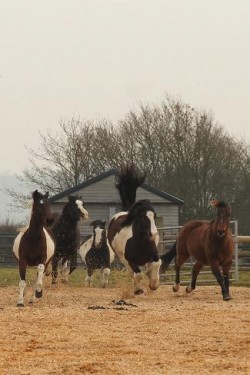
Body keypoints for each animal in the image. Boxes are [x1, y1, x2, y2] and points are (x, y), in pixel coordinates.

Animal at [107, 164, 161, 296]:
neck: (140, 243)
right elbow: (137, 275)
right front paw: (138, 290)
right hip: (122, 258)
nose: (153, 234)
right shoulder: (130, 260)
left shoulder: (154, 255)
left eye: (154, 216)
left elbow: (156, 264)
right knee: (131, 272)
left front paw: (153, 284)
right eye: (143, 217)